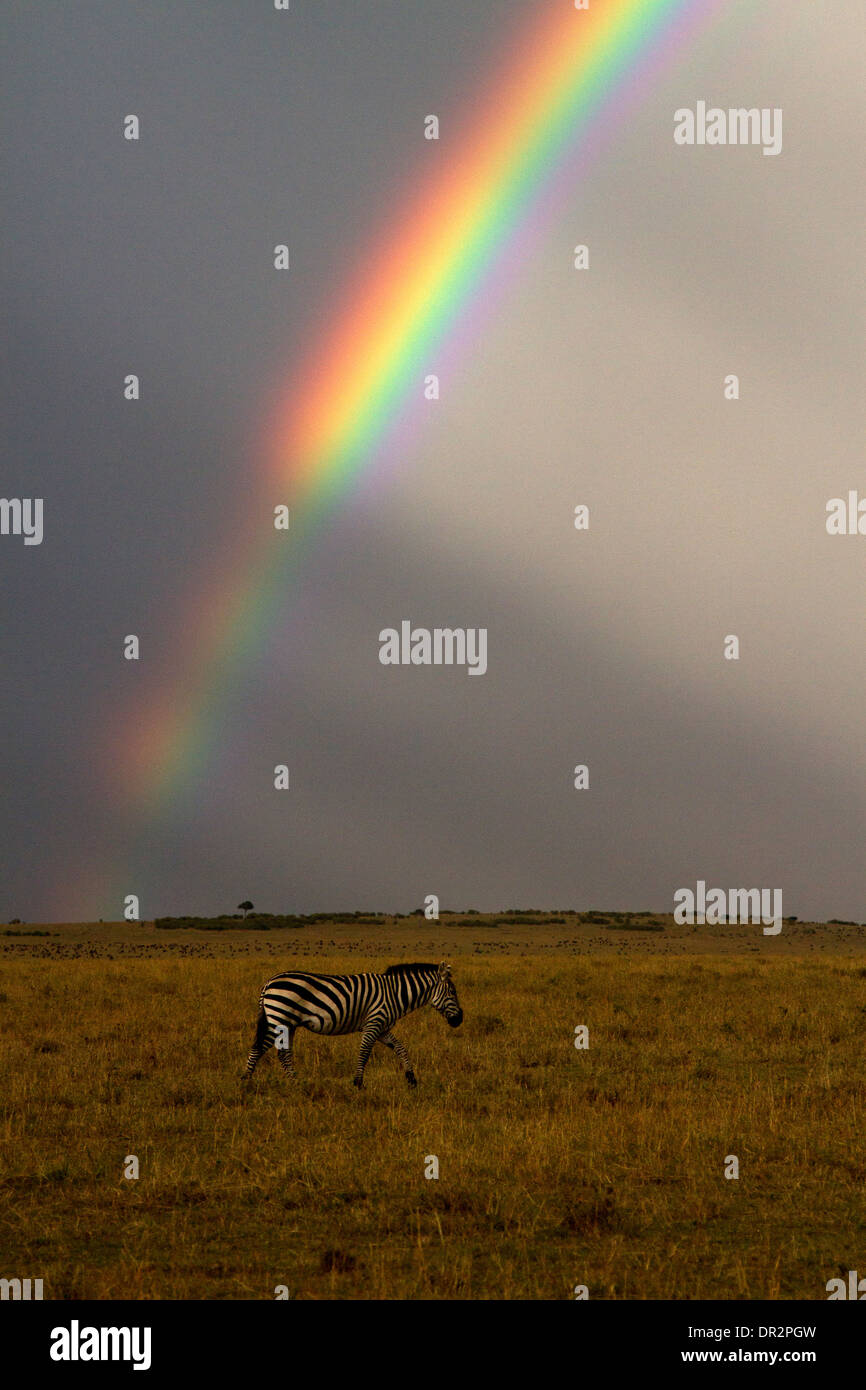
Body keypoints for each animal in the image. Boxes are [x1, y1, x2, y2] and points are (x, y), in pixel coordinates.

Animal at [240, 961, 464, 1089]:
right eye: (453, 991)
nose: (459, 1020)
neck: (395, 994)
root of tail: (269, 983)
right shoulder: (374, 1023)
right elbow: (364, 1052)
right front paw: (358, 1083)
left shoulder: (382, 1028)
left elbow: (401, 1048)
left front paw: (412, 1079)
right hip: (280, 1018)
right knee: (270, 1050)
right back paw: (265, 1083)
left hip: (285, 1022)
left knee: (272, 1050)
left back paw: (272, 1082)